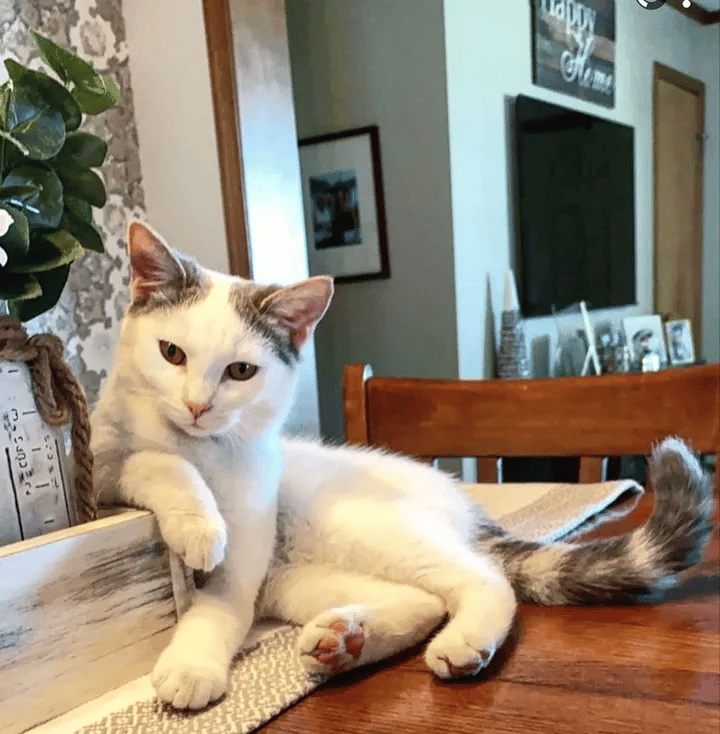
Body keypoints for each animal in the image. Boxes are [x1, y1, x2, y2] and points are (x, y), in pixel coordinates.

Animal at [93, 220, 716, 712]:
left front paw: (192, 662)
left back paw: (456, 643)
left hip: (361, 526)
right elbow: (153, 462)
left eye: (241, 371)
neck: (208, 452)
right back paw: (347, 640)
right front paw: (197, 526)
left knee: (480, 579)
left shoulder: (246, 541)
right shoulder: (101, 475)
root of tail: (462, 501)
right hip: (299, 579)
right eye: (171, 353)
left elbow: (221, 602)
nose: (197, 405)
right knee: (423, 600)